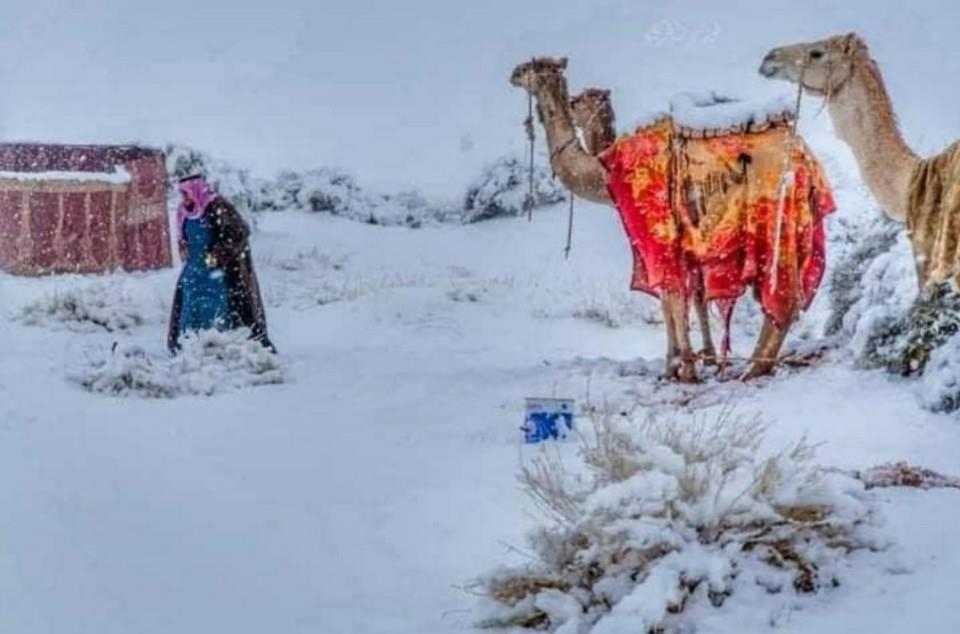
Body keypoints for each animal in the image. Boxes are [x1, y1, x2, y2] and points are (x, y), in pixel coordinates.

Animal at [510, 58, 808, 380]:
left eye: (529, 68)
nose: (513, 74)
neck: (605, 171)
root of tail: (801, 153)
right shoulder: (688, 243)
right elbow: (690, 296)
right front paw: (700, 359)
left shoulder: (658, 233)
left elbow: (670, 298)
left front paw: (681, 367)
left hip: (773, 214)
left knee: (782, 295)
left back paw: (753, 368)